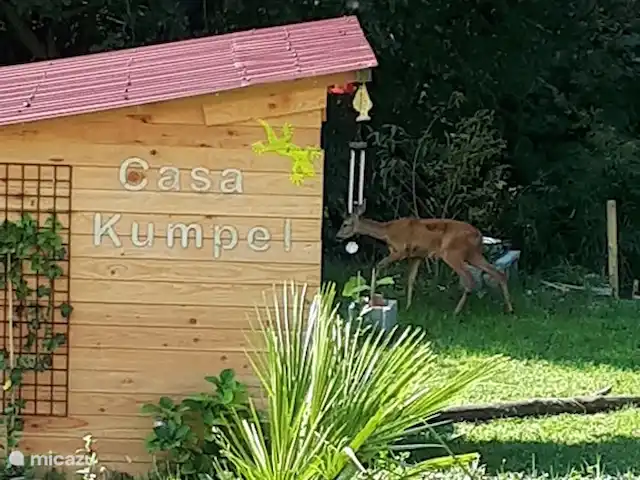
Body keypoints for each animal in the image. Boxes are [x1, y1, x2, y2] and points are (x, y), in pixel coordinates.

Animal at [336, 201, 514, 315]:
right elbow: (410, 280)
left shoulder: (400, 251)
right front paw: (408, 306)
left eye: (345, 224)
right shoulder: (417, 256)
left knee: (469, 278)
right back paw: (509, 309)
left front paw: (372, 300)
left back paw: (456, 312)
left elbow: (378, 266)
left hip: (452, 253)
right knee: (498, 273)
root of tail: (479, 235)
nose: (337, 236)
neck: (387, 232)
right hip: (473, 254)